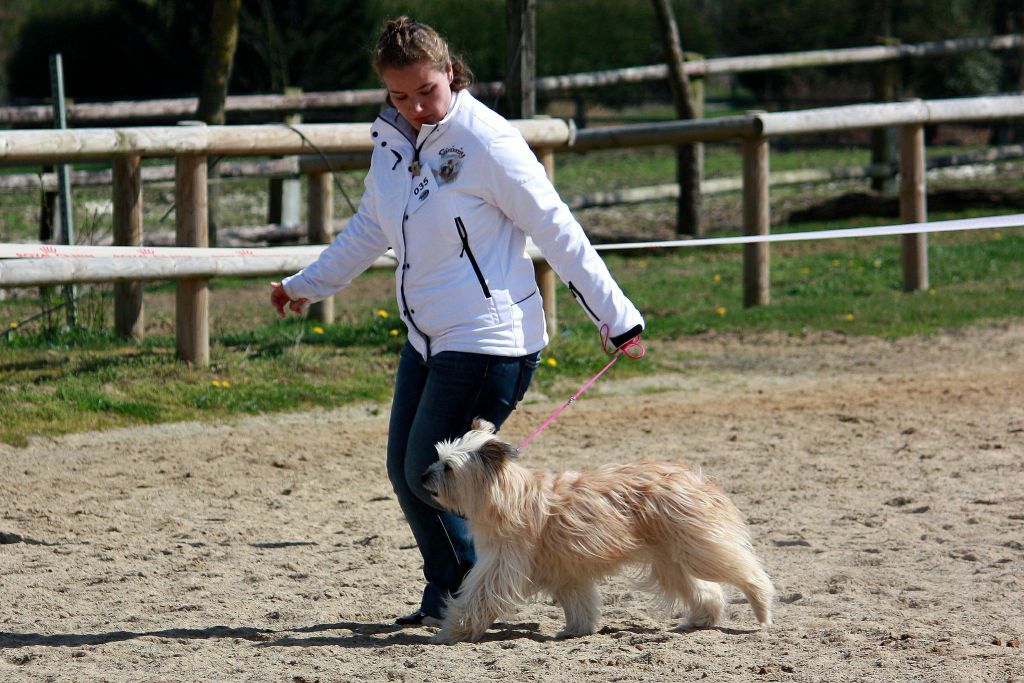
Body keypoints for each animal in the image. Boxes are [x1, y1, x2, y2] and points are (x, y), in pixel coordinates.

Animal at [419, 417, 770, 647]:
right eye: (437, 458)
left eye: (448, 467)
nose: (422, 476)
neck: (505, 495)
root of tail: (693, 477)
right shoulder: (565, 570)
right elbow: (579, 603)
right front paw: (576, 630)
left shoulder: (500, 567)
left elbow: (476, 599)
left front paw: (450, 632)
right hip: (670, 560)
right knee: (706, 591)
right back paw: (702, 619)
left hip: (699, 548)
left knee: (748, 572)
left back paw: (763, 607)